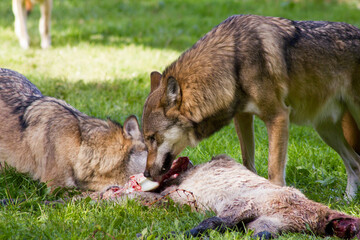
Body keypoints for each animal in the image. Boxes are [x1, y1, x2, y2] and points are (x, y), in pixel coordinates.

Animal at [142, 14, 360, 199]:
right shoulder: (242, 117)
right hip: (326, 131)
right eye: (146, 139)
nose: (145, 173)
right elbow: (247, 163)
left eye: (152, 138)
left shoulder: (278, 117)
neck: (233, 65)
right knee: (355, 163)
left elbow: (274, 172)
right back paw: (348, 199)